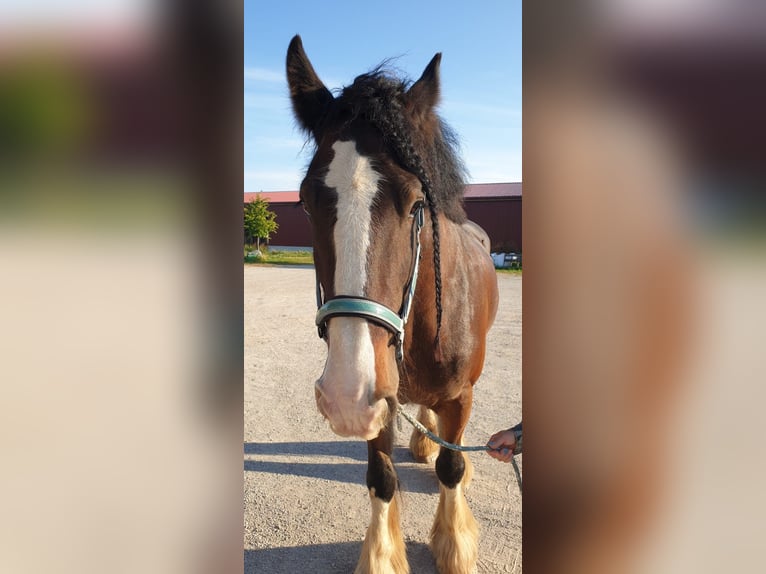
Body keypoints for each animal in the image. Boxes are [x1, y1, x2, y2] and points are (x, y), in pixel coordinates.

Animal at [286, 36, 498, 574]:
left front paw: (454, 544)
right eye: (305, 201)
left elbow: (452, 464)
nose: (345, 394)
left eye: (416, 201)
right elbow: (381, 478)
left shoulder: (455, 396)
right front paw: (382, 557)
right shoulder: (378, 400)